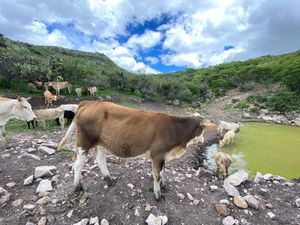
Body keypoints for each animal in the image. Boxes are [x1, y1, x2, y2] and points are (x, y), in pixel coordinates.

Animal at [57, 101, 214, 200]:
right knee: (78, 164)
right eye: (202, 130)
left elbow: (163, 171)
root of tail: (90, 103)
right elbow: (157, 175)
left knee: (100, 160)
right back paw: (77, 187)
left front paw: (163, 185)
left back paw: (109, 180)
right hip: (84, 141)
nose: (202, 141)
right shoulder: (158, 154)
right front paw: (158, 194)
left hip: (102, 143)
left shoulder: (163, 155)